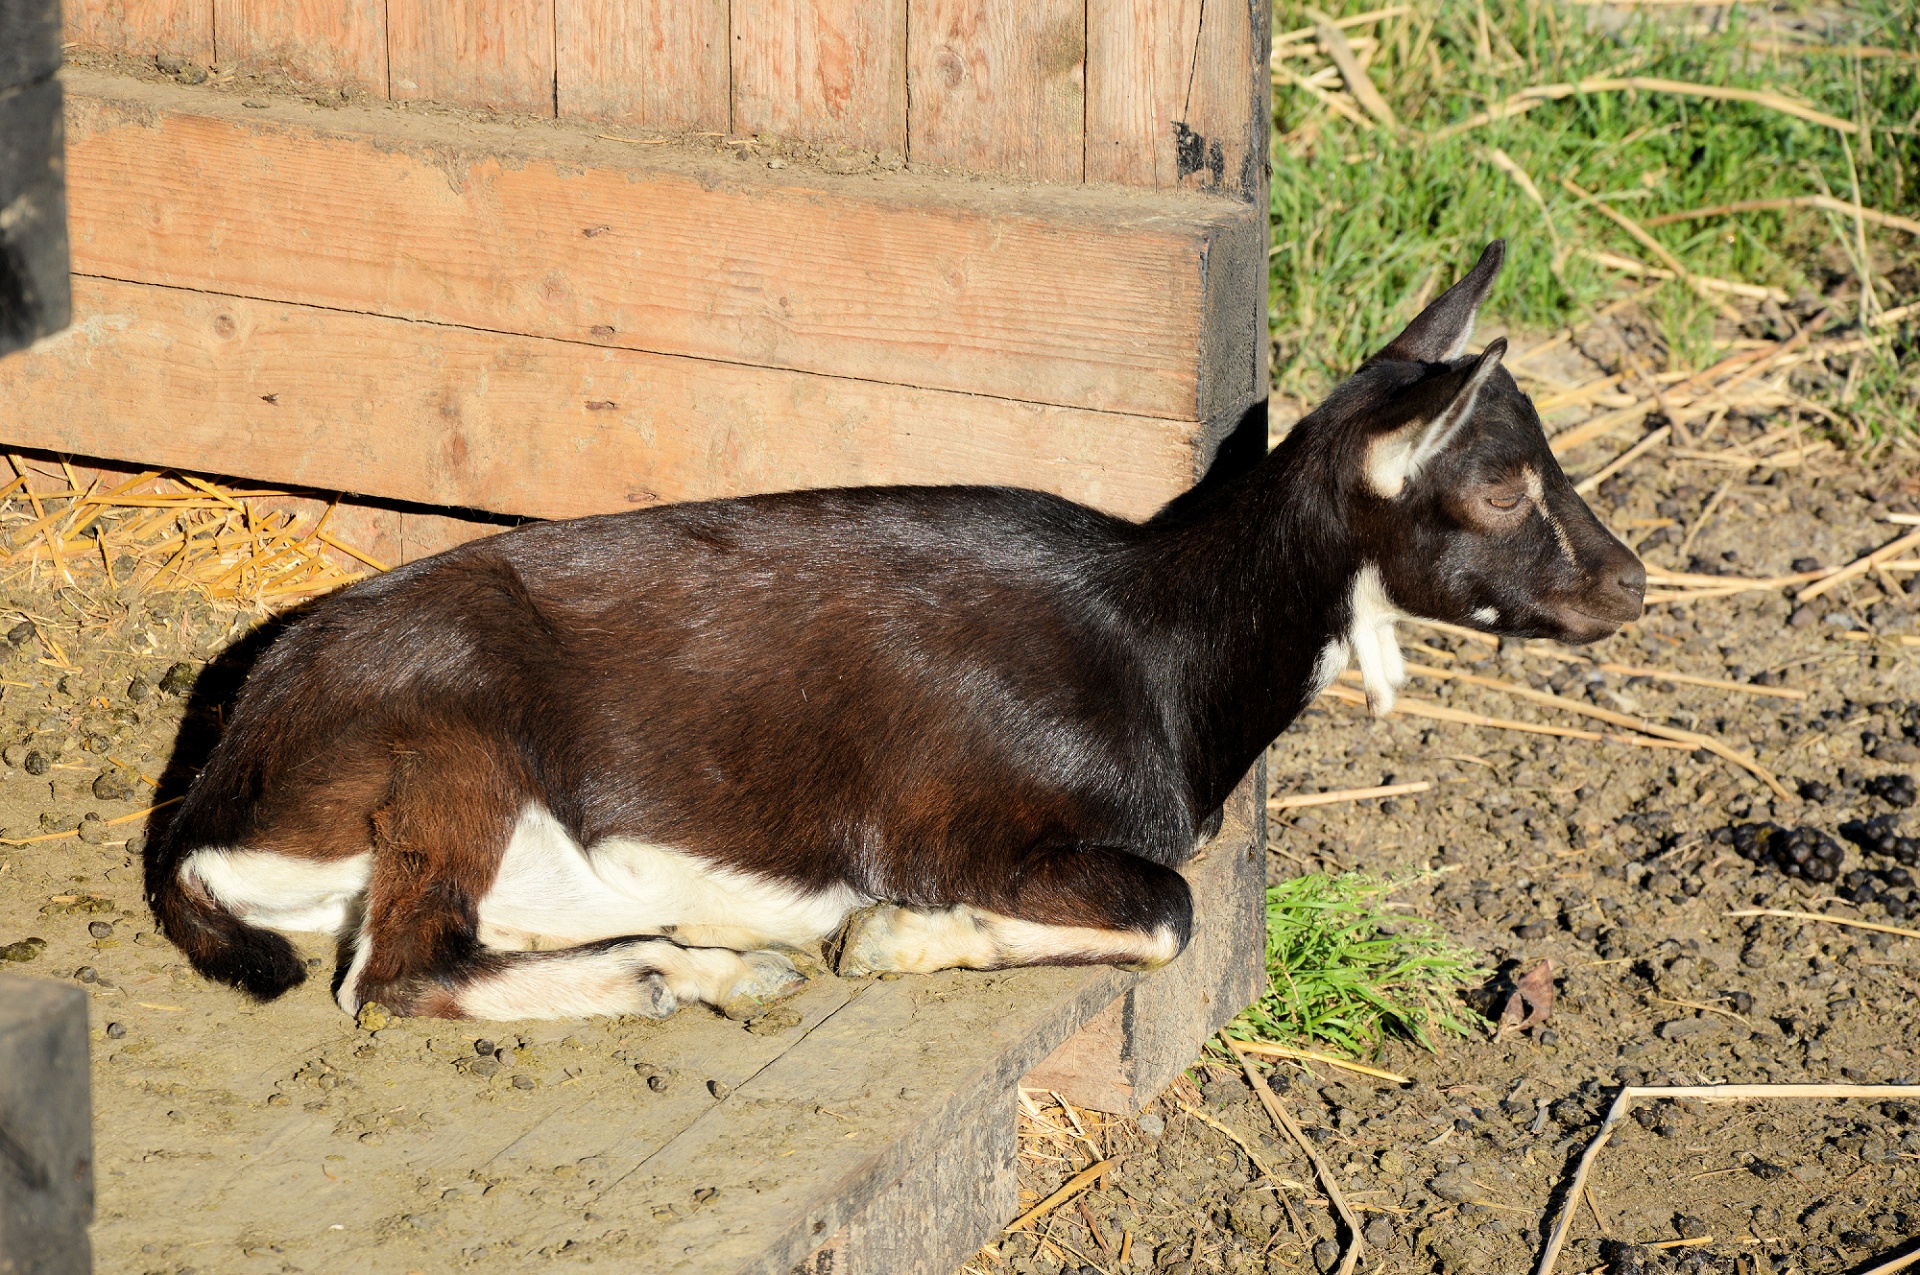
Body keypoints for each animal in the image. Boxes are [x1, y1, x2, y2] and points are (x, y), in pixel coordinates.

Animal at [149, 243, 1643, 1029]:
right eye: (1501, 486)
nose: (1629, 585)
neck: (1159, 644)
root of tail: (218, 794)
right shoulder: (962, 826)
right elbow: (1166, 909)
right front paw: (895, 943)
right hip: (452, 736)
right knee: (396, 972)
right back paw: (697, 968)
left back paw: (711, 949)